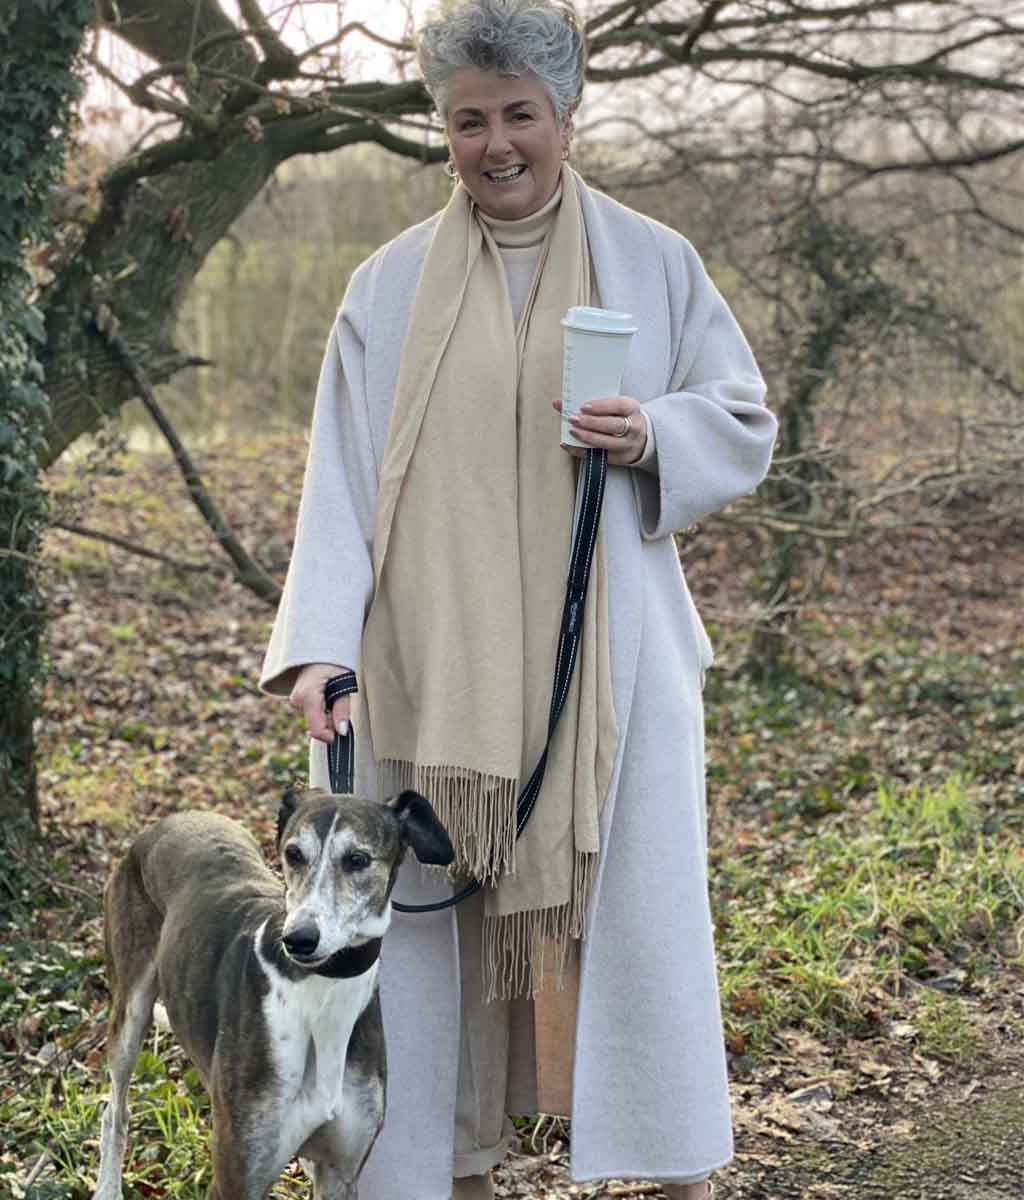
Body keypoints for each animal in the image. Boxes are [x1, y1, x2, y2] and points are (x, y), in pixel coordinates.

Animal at [91, 787, 451, 1200]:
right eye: (293, 853)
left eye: (357, 859)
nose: (299, 939)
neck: (320, 995)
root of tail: (172, 819)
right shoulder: (235, 1181)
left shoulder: (340, 1174)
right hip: (130, 1011)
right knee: (115, 1110)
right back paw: (107, 1187)